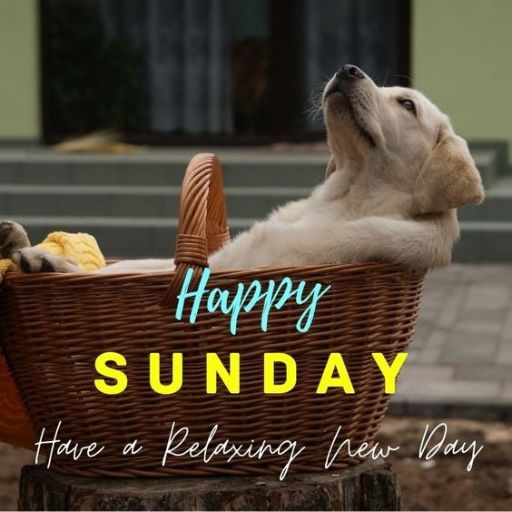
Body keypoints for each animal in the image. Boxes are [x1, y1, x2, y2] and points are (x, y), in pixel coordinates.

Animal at [0, 65, 484, 274]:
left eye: (407, 105)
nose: (348, 69)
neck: (344, 198)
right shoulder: (214, 259)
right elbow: (122, 269)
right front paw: (38, 252)